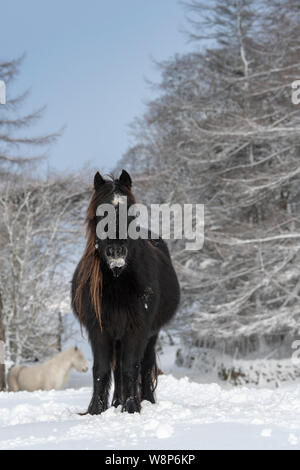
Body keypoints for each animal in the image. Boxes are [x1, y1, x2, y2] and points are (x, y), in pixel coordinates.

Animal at [71, 171, 179, 414]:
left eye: (131, 212)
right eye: (100, 212)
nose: (116, 251)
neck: (118, 280)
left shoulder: (137, 328)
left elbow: (132, 367)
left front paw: (132, 408)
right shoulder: (99, 329)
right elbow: (101, 369)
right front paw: (96, 410)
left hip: (150, 334)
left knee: (144, 366)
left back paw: (146, 400)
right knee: (117, 368)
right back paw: (116, 402)